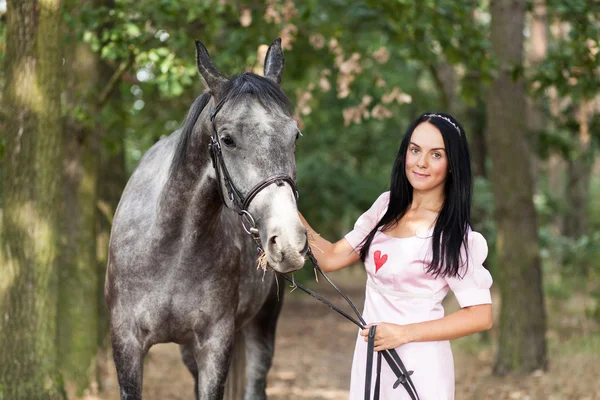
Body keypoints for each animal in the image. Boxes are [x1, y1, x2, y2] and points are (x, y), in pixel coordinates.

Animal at [105, 38, 308, 400]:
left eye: (294, 135)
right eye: (227, 139)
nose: (288, 242)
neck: (170, 248)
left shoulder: (215, 345)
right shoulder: (126, 344)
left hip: (262, 325)